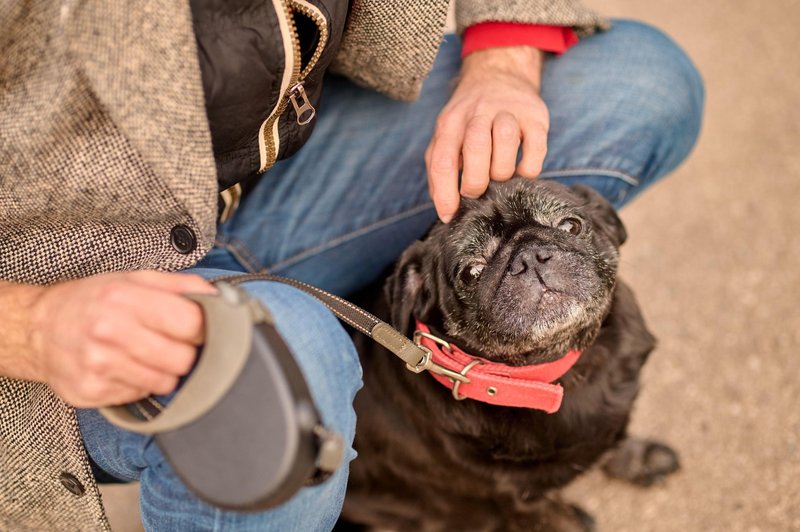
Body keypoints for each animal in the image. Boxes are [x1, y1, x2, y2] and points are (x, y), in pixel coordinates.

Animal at [338, 180, 680, 532]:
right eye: (472, 272)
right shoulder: (527, 504)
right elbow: (561, 521)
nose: (530, 257)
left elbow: (613, 439)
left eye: (571, 226)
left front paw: (638, 458)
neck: (551, 375)